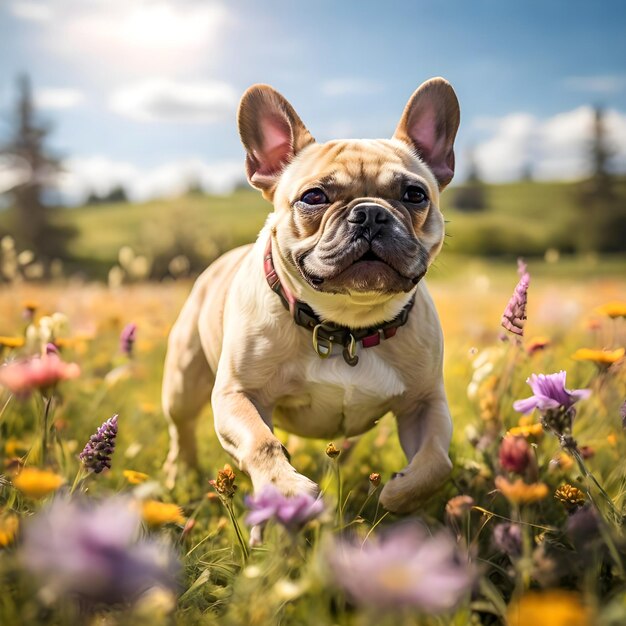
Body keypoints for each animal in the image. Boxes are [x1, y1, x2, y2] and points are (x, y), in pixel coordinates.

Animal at [162, 75, 458, 512]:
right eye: (314, 197)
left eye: (415, 195)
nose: (371, 213)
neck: (347, 327)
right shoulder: (238, 395)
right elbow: (262, 442)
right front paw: (285, 490)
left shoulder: (426, 403)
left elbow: (437, 460)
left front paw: (398, 495)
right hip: (183, 382)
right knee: (181, 429)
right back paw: (179, 474)